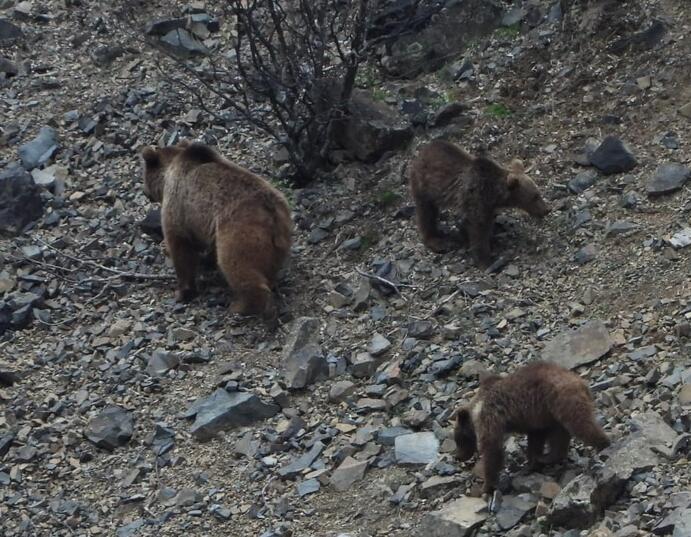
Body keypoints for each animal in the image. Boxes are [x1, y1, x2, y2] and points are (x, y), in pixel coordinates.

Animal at [141, 140, 292, 322]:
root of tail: (271, 211)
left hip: (238, 233)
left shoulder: (178, 207)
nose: (144, 193)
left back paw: (240, 306)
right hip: (281, 237)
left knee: (236, 266)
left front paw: (182, 291)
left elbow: (181, 247)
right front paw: (206, 261)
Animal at [408, 138, 548, 264]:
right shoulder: (476, 198)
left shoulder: (487, 206)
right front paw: (485, 260)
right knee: (426, 213)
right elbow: (478, 229)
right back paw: (437, 241)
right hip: (424, 187)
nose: (547, 210)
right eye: (535, 196)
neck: (494, 193)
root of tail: (421, 152)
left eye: (538, 193)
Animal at [456, 360, 608, 494]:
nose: (458, 457)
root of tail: (580, 382)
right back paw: (547, 457)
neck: (477, 408)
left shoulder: (491, 417)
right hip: (553, 410)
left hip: (563, 401)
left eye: (458, 440)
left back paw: (603, 445)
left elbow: (492, 449)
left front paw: (485, 486)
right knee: (560, 436)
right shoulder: (536, 419)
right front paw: (532, 463)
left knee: (581, 425)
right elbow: (536, 439)